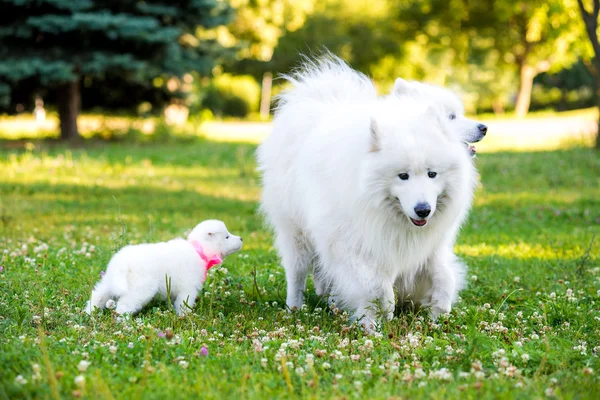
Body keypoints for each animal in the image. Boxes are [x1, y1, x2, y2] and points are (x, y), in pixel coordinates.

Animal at [85, 219, 244, 316]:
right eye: (227, 237)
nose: (241, 238)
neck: (198, 250)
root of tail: (122, 262)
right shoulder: (188, 288)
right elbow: (184, 303)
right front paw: (184, 317)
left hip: (109, 281)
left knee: (98, 295)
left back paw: (89, 312)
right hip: (140, 289)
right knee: (125, 304)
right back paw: (122, 321)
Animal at [258, 55, 482, 332]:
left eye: (432, 174)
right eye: (403, 176)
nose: (423, 210)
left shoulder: (430, 246)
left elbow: (445, 277)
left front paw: (439, 311)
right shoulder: (355, 245)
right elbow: (377, 288)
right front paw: (376, 321)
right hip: (297, 233)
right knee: (297, 273)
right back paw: (295, 307)